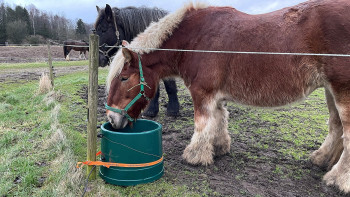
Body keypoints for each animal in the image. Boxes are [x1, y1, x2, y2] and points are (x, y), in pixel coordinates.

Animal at [106, 0, 350, 192]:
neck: (195, 39)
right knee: (335, 126)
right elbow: (219, 119)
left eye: (124, 78)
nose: (112, 119)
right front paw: (218, 147)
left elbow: (203, 123)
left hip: (342, 91)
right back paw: (321, 160)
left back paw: (338, 179)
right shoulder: (216, 95)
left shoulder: (202, 93)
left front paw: (195, 155)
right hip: (330, 90)